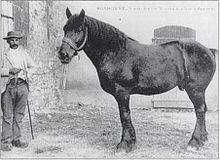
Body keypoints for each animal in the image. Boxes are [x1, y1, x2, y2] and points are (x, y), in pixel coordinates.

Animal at [57, 8, 216, 152]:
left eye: (78, 29)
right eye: (64, 29)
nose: (63, 54)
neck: (116, 52)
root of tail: (208, 50)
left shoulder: (122, 92)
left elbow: (124, 115)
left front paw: (124, 144)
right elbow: (124, 116)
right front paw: (131, 142)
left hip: (195, 89)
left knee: (200, 110)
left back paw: (194, 142)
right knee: (202, 110)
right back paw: (202, 139)